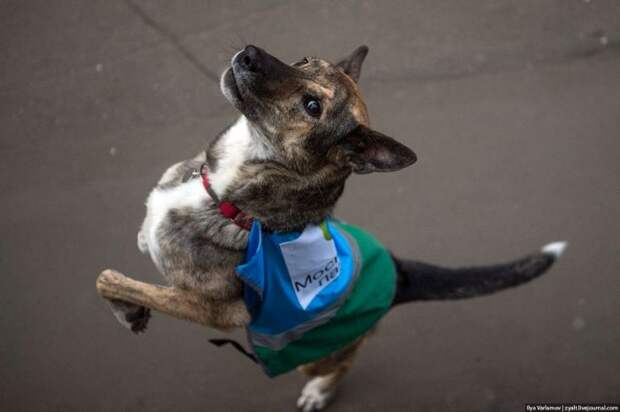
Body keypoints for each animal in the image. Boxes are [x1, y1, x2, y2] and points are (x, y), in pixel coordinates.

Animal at [108, 45, 568, 412]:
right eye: (303, 60)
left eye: (312, 106)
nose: (251, 52)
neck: (228, 198)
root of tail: (400, 271)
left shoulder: (213, 311)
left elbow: (117, 282)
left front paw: (127, 308)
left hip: (318, 354)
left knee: (342, 364)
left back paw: (319, 392)